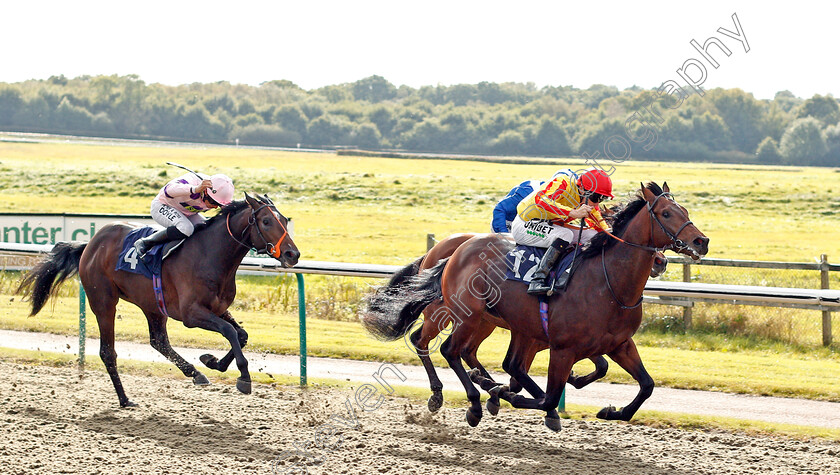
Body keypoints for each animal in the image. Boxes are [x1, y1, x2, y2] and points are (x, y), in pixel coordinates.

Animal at [15, 194, 298, 410]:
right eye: (266, 221)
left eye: (284, 220)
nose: (292, 254)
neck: (211, 255)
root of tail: (90, 245)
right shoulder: (191, 314)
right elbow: (230, 331)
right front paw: (244, 377)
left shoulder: (217, 308)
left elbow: (241, 334)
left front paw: (212, 361)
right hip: (104, 302)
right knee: (108, 352)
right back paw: (125, 399)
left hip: (152, 304)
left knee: (158, 341)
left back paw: (195, 373)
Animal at [364, 183, 704, 432]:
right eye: (666, 213)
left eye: (684, 210)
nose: (702, 242)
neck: (608, 283)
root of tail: (453, 251)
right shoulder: (562, 347)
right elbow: (546, 395)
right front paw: (504, 394)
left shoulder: (617, 343)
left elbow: (645, 384)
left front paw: (611, 411)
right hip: (463, 315)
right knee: (440, 346)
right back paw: (467, 400)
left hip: (484, 321)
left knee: (464, 351)